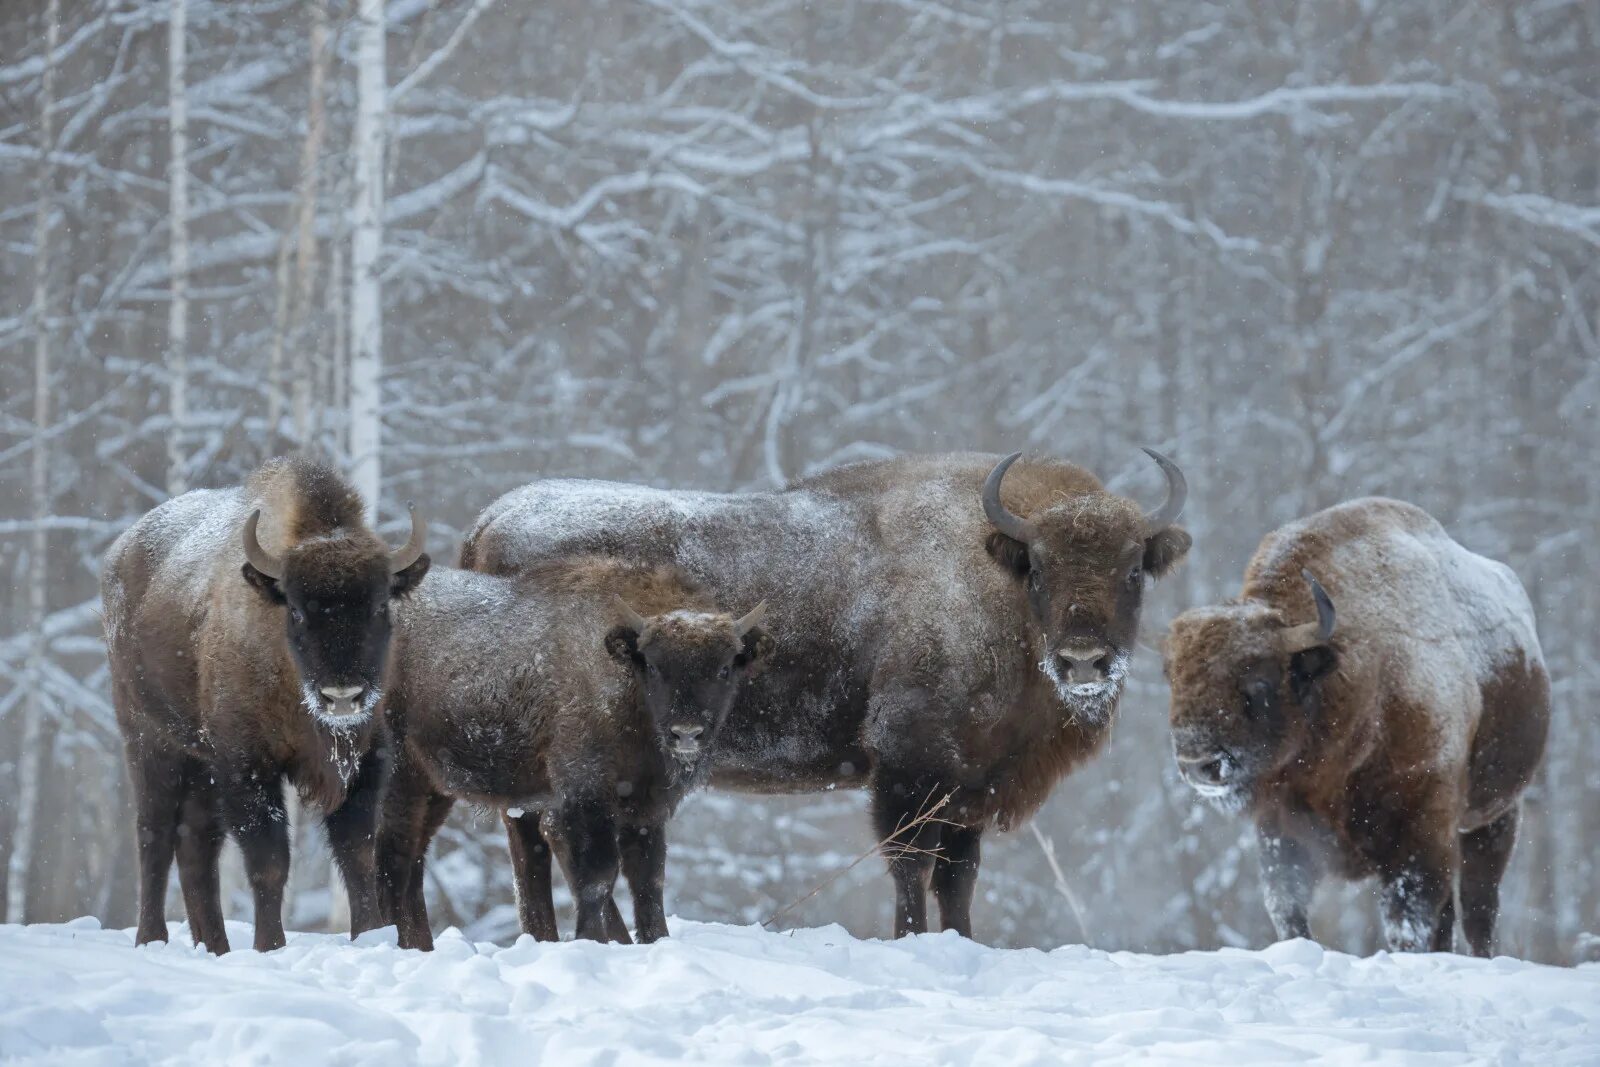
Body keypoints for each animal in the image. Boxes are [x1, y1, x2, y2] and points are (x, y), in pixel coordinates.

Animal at [100, 457, 432, 953]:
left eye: (379, 607)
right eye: (296, 610)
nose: (342, 696)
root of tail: (119, 553)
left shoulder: (366, 761)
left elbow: (357, 854)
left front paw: (372, 937)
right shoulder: (248, 766)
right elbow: (269, 859)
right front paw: (270, 946)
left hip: (200, 762)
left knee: (196, 844)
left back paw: (214, 947)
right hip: (149, 739)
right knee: (154, 834)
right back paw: (151, 939)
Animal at [377, 556, 771, 947]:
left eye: (724, 668)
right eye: (654, 665)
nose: (686, 733)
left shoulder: (648, 807)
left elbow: (649, 879)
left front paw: (656, 939)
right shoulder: (585, 791)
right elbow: (598, 875)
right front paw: (591, 939)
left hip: (434, 787)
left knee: (413, 858)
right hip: (400, 775)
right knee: (393, 854)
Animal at [464, 447, 1190, 934]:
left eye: (1133, 568)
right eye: (1037, 567)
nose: (1084, 660)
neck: (988, 576)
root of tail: (490, 520)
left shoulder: (970, 787)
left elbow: (958, 878)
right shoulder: (909, 766)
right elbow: (911, 865)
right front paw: (911, 940)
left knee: (532, 844)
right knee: (558, 842)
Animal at [1164, 495, 1548, 953]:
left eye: (1258, 682)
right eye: (1173, 678)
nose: (1197, 764)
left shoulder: (1422, 829)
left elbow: (1408, 920)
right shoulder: (1280, 829)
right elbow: (1287, 910)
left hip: (1497, 816)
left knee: (1478, 909)